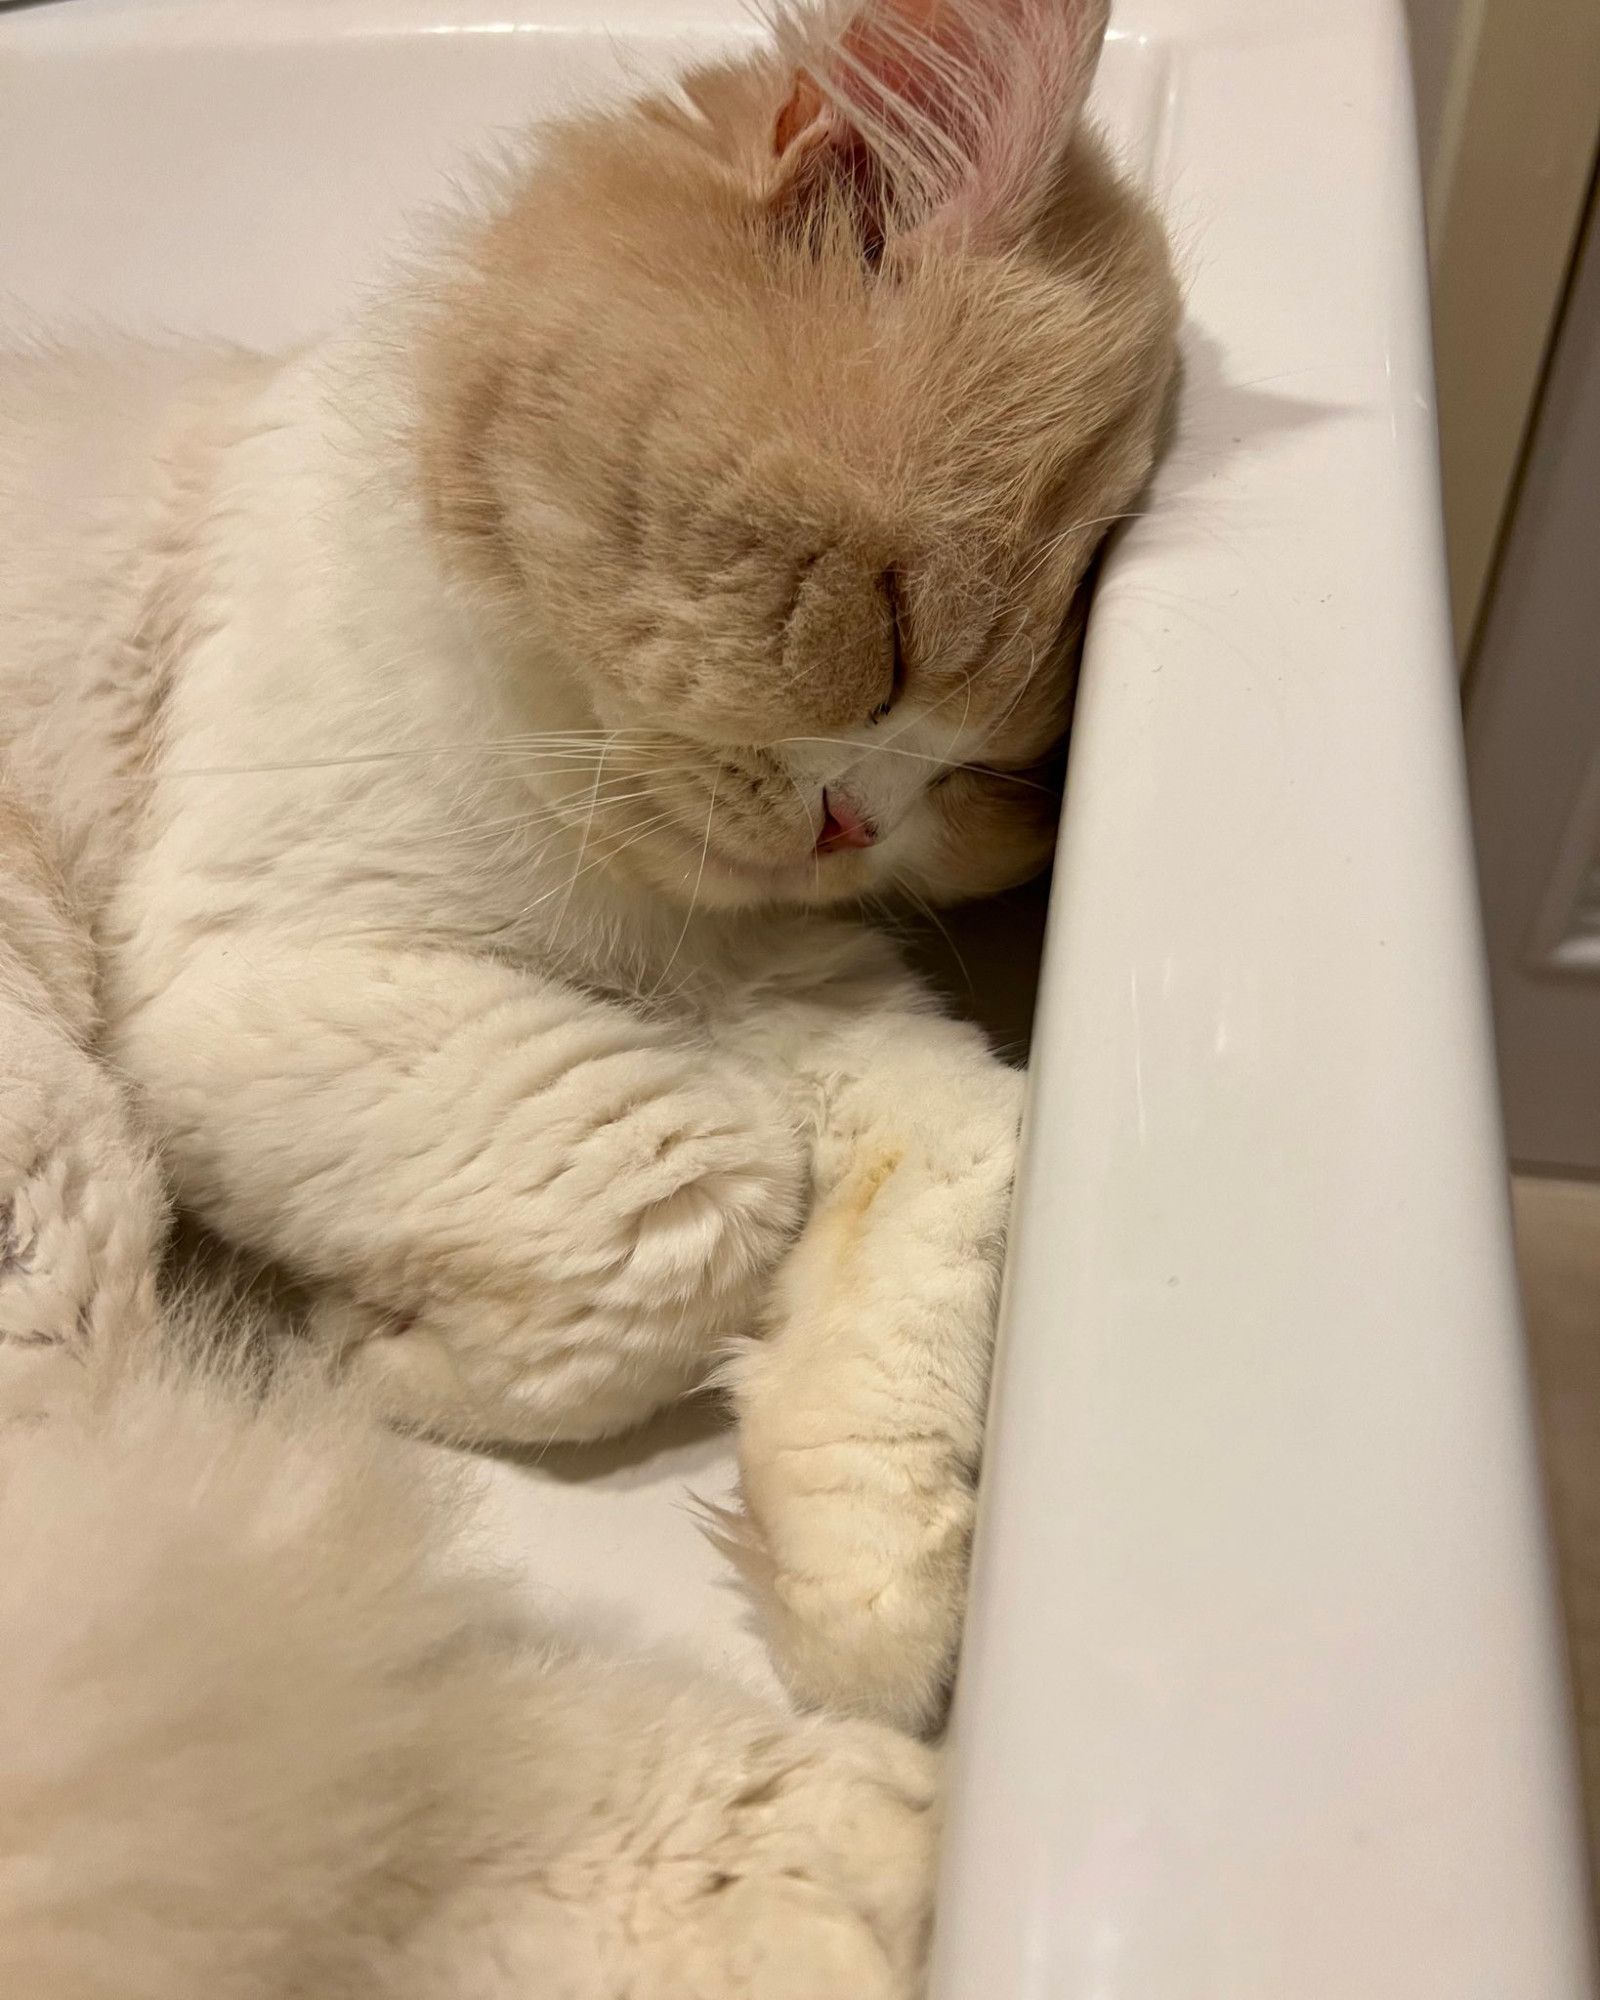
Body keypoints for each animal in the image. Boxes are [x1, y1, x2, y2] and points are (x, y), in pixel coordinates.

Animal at [0, 0, 1176, 1984]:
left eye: (1006, 771)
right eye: (884, 627)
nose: (858, 817)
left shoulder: (776, 982)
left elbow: (944, 1162)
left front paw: (866, 1570)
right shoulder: (279, 973)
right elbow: (696, 1194)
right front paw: (384, 1351)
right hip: (53, 1165)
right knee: (343, 1728)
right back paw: (813, 1864)